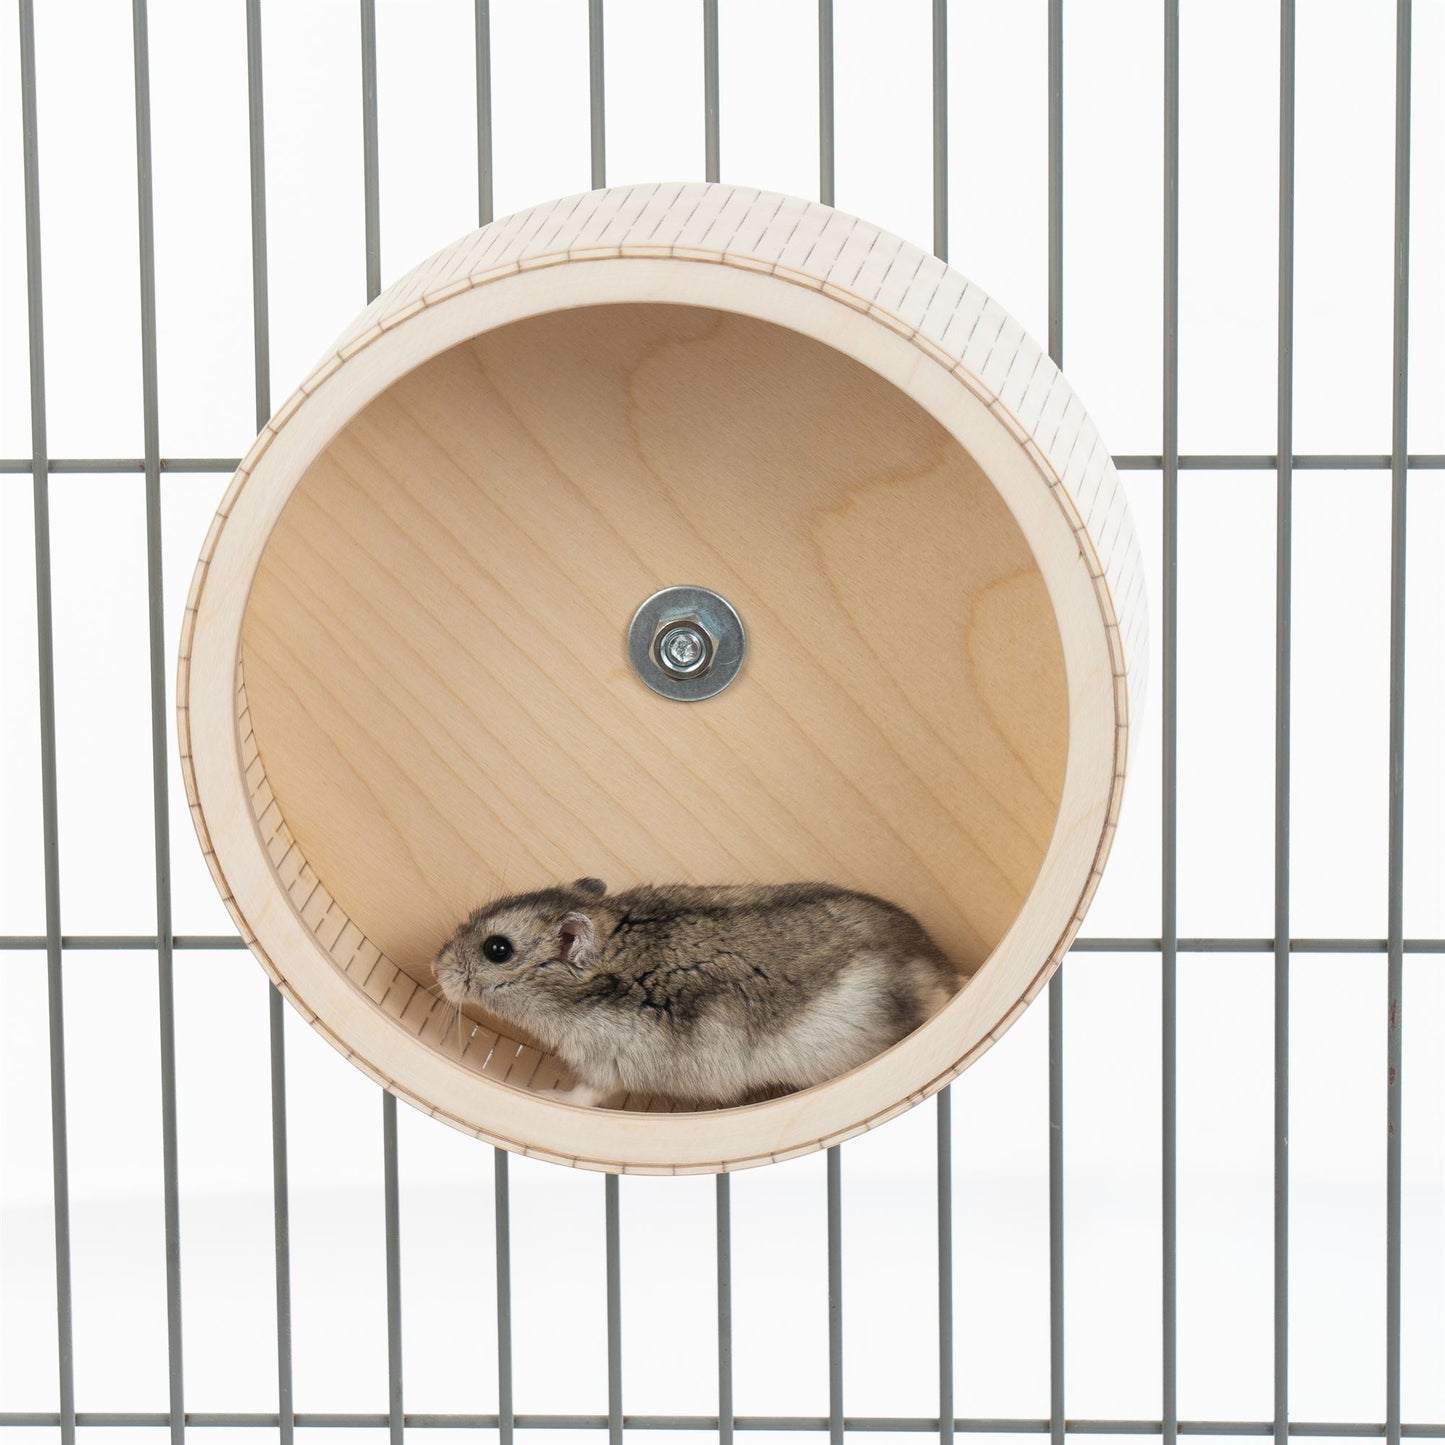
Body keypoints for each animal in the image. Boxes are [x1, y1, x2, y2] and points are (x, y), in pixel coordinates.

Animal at [431, 878, 960, 1108]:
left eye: (497, 949)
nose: (435, 967)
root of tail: (944, 974)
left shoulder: (607, 1062)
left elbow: (585, 1094)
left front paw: (543, 1093)